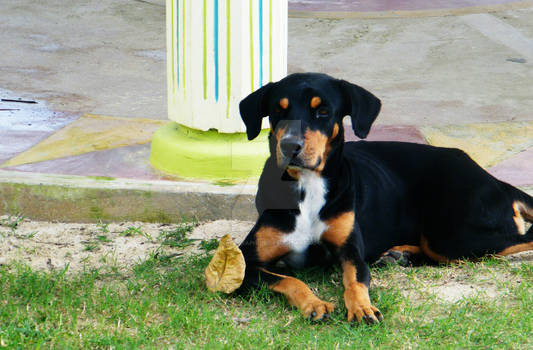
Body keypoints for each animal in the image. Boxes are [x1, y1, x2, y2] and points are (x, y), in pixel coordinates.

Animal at [236, 72, 532, 324]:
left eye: (323, 111)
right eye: (278, 110)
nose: (290, 146)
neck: (307, 187)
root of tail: (496, 181)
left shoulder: (351, 251)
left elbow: (356, 279)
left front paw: (361, 307)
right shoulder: (243, 262)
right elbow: (289, 280)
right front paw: (314, 304)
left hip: (453, 237)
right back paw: (400, 254)